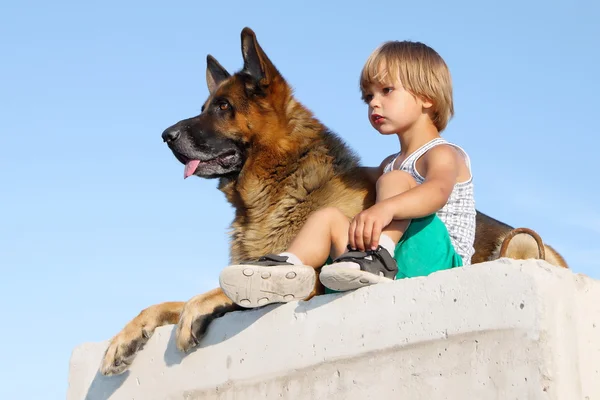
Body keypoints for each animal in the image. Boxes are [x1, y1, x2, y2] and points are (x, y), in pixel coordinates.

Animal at [98, 27, 568, 376]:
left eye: (223, 107)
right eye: (205, 106)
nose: (165, 136)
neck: (286, 180)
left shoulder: (315, 281)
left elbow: (210, 291)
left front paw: (200, 306)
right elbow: (163, 302)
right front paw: (124, 339)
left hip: (521, 242)